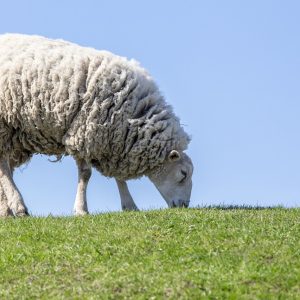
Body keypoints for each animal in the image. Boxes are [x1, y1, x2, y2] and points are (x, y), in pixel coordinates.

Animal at [0, 33, 192, 216]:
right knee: (4, 168)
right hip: (4, 126)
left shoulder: (115, 141)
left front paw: (129, 205)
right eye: (183, 174)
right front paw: (81, 209)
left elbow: (119, 177)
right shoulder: (84, 133)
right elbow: (86, 174)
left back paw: (6, 212)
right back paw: (19, 207)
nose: (184, 206)